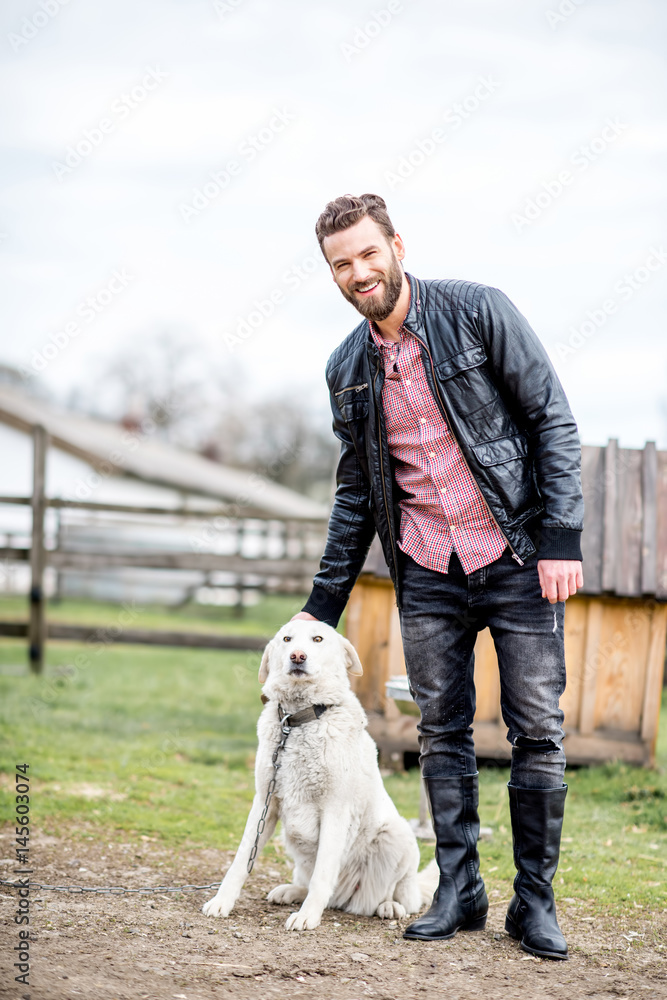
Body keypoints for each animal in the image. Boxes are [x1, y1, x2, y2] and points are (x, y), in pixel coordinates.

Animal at [201, 616, 436, 928]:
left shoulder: (335, 811)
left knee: (404, 897)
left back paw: (389, 906)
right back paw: (291, 891)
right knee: (314, 884)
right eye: (287, 639)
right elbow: (241, 861)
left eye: (317, 639)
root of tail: (345, 898)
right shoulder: (265, 803)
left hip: (395, 835)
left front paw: (307, 917)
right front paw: (222, 902)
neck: (297, 721)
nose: (297, 656)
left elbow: (322, 875)